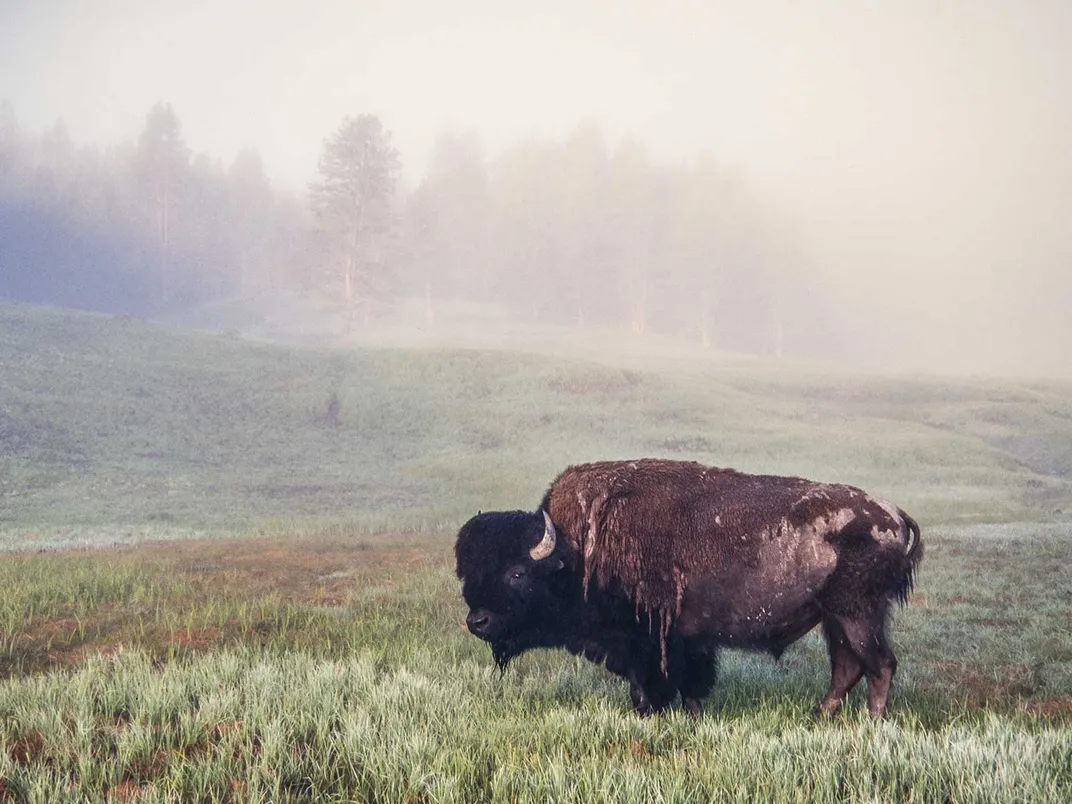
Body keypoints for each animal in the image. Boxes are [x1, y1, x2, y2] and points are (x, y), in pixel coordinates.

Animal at [454, 458, 921, 716]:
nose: (477, 622)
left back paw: (871, 723)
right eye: (467, 571)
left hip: (857, 614)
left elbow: (654, 685)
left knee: (879, 665)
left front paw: (650, 713)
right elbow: (692, 687)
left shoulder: (650, 642)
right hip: (835, 619)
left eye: (517, 572)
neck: (577, 550)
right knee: (847, 667)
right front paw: (692, 716)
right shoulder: (691, 642)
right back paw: (818, 715)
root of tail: (894, 514)